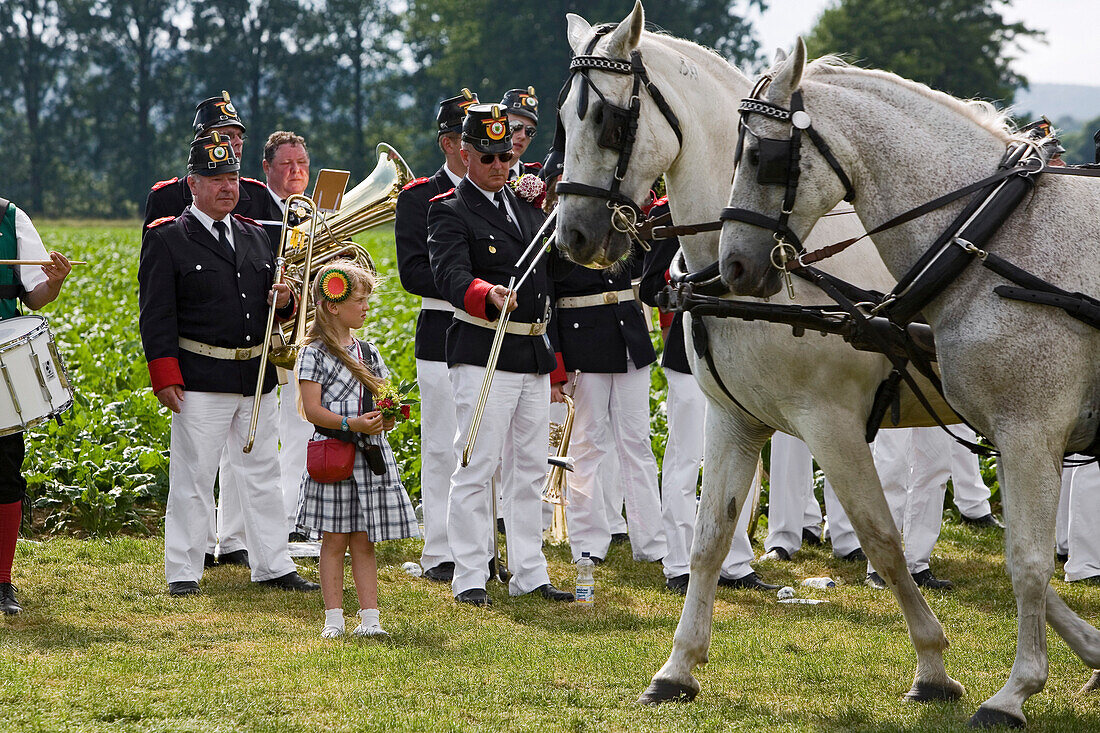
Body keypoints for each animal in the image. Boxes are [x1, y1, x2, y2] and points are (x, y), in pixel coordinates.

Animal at [554, 0, 968, 708]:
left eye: (610, 120)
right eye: (561, 118)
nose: (573, 237)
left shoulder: (832, 426)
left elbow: (882, 538)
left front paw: (933, 666)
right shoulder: (734, 420)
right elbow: (709, 539)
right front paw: (677, 668)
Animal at [717, 39, 1100, 726]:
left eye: (762, 156)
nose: (733, 265)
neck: (991, 238)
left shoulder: (1031, 433)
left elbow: (1028, 563)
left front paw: (1015, 691)